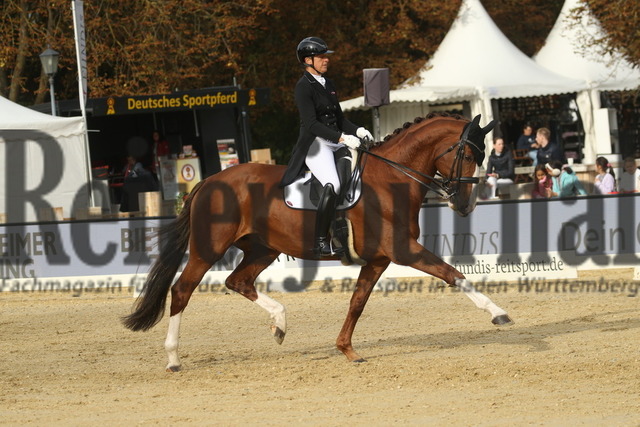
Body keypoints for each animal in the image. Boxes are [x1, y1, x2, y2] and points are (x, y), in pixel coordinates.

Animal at [124, 113, 516, 372]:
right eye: (468, 155)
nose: (465, 205)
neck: (391, 179)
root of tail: (207, 181)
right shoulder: (403, 250)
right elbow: (454, 275)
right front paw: (499, 314)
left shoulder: (378, 259)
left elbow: (357, 303)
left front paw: (347, 350)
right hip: (209, 248)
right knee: (182, 291)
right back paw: (173, 358)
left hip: (263, 248)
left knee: (238, 281)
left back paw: (280, 324)